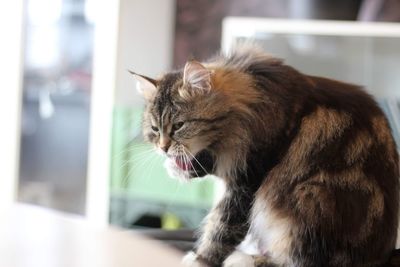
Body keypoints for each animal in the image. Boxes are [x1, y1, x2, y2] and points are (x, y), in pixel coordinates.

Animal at [132, 46, 400, 267]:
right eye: (155, 129)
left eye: (179, 126)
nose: (163, 148)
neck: (253, 99)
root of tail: (383, 256)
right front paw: (177, 166)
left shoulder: (247, 182)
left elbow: (221, 228)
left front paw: (201, 260)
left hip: (309, 202)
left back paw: (244, 259)